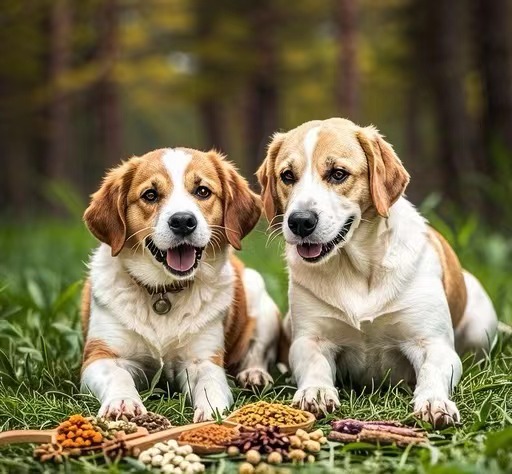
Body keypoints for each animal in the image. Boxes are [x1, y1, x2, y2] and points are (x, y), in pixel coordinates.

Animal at [81, 146, 280, 420]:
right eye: (150, 195)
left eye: (202, 191)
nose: (183, 221)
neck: (164, 292)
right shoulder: (100, 355)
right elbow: (118, 376)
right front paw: (123, 402)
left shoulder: (203, 360)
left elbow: (210, 384)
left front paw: (212, 413)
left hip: (259, 296)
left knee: (258, 351)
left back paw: (254, 374)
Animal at [258, 117, 498, 426]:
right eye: (287, 176)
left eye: (338, 174)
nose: (300, 221)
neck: (358, 269)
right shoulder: (309, 340)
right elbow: (314, 365)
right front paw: (316, 392)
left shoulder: (433, 344)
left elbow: (432, 372)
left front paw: (434, 402)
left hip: (482, 328)